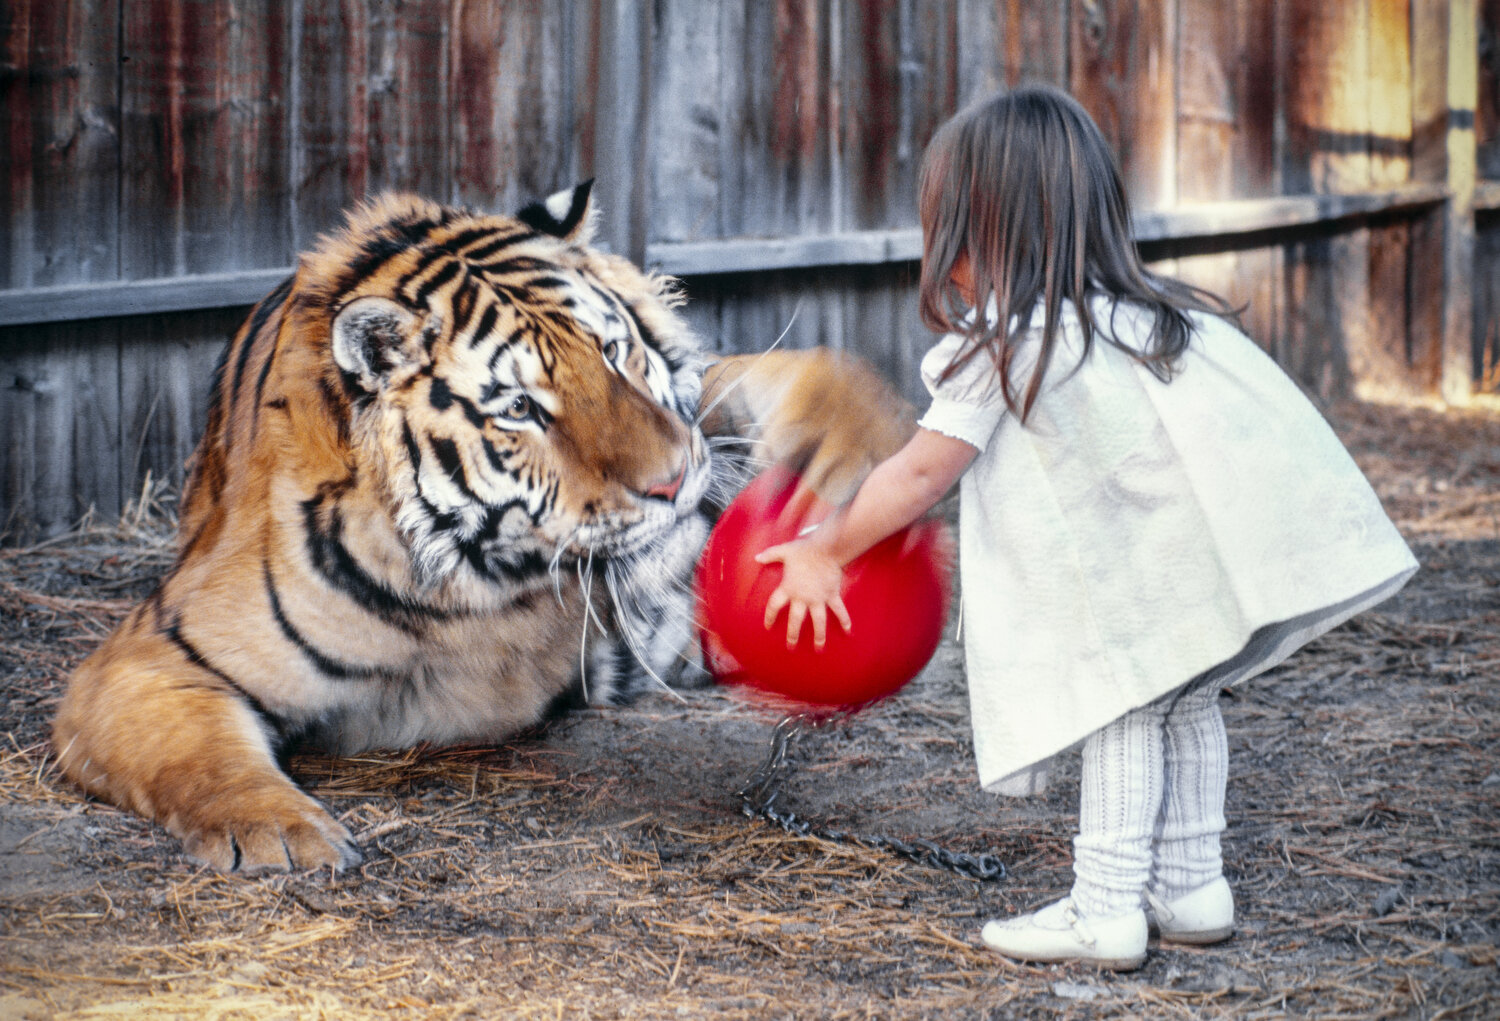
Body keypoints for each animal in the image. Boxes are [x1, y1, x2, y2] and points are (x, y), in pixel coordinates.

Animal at [52, 181, 912, 869]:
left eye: (613, 351)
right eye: (521, 408)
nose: (672, 483)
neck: (490, 592)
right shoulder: (151, 658)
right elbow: (206, 757)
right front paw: (280, 831)